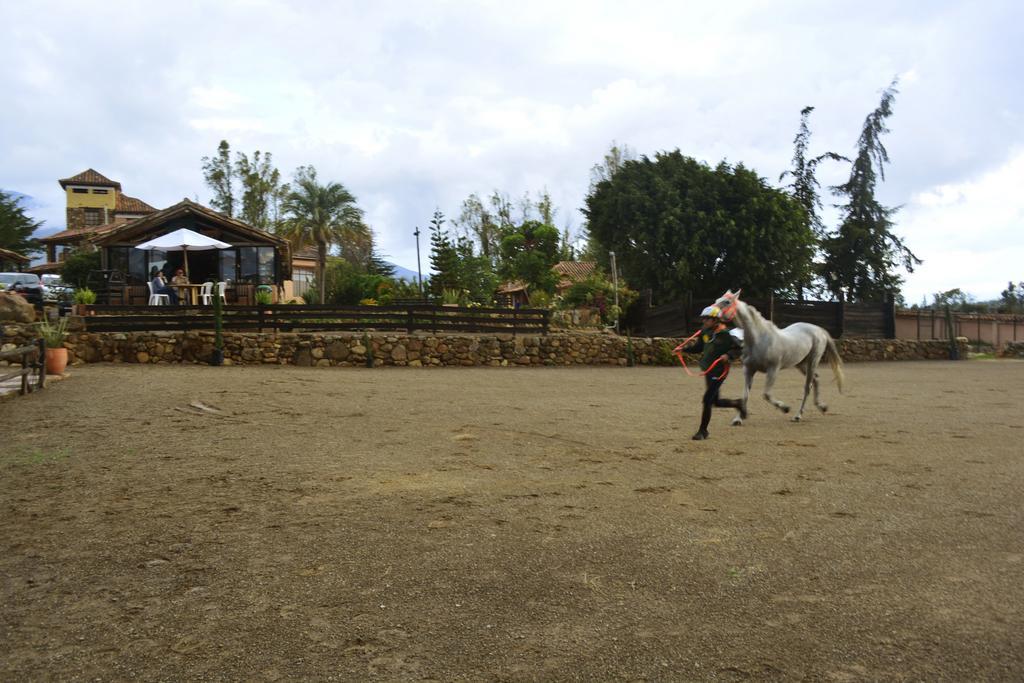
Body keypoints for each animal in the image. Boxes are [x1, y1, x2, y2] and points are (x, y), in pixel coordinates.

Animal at [712, 290, 847, 428]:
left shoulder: (773, 369)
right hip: (801, 364)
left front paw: (785, 408)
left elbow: (766, 394)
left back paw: (798, 416)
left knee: (807, 387)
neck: (759, 339)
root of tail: (819, 329)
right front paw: (738, 419)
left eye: (727, 302)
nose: (710, 314)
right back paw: (822, 407)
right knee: (815, 379)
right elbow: (744, 395)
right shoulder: (749, 370)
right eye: (717, 299)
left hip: (813, 360)